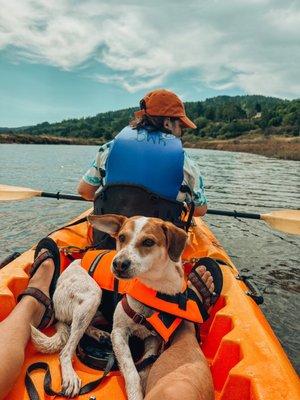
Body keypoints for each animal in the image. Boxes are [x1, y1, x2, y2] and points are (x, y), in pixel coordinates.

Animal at [31, 216, 189, 400]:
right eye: (121, 237)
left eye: (148, 242)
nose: (119, 264)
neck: (155, 290)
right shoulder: (119, 333)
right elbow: (132, 373)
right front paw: (135, 394)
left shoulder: (153, 339)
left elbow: (144, 369)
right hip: (92, 295)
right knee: (66, 350)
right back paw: (70, 376)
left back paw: (101, 334)